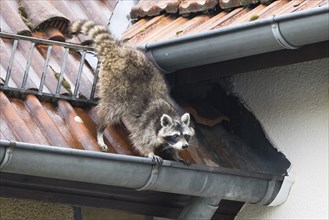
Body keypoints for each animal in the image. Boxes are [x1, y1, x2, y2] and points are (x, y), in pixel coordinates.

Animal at [68, 20, 192, 165]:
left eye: (186, 136)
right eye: (175, 136)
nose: (185, 146)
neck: (170, 115)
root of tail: (117, 51)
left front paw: (176, 155)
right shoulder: (146, 126)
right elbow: (140, 140)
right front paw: (150, 152)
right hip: (114, 83)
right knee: (110, 109)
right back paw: (100, 130)